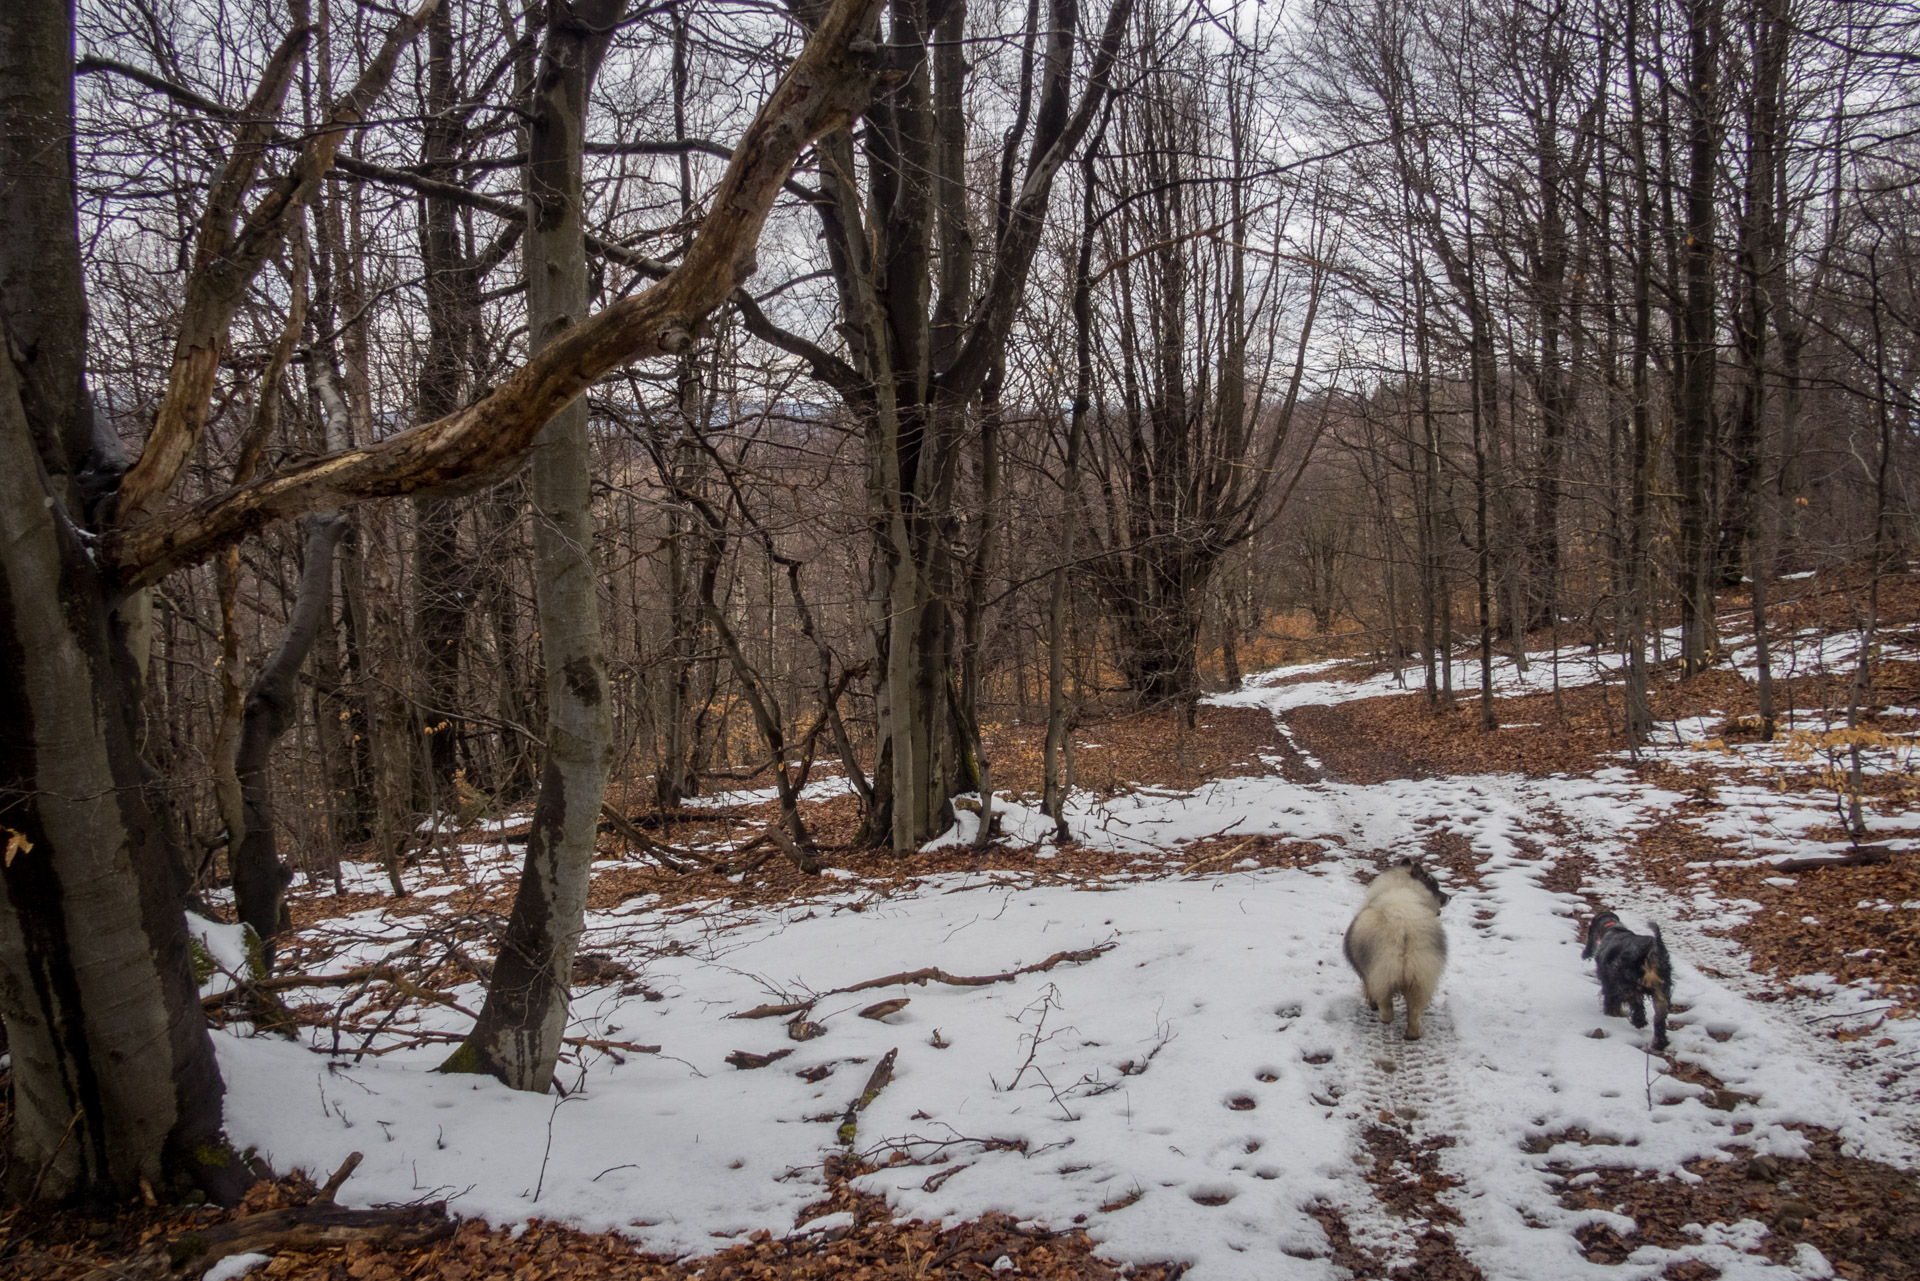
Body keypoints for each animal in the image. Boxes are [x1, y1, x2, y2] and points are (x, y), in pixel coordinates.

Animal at [1344, 860, 1443, 1044]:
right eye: (1435, 886)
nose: (1449, 897)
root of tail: (1402, 923)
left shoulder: (1367, 975)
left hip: (1381, 972)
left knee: (1385, 1004)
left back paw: (1383, 1017)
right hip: (1420, 976)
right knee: (1414, 1011)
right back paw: (1412, 1035)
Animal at [1582, 910, 1674, 1052]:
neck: (1613, 929)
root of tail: (1651, 950)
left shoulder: (1609, 986)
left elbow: (1611, 1004)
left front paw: (1611, 1015)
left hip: (1629, 984)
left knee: (1637, 1006)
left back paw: (1639, 1022)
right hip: (1661, 992)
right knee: (1659, 1020)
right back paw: (1660, 1043)